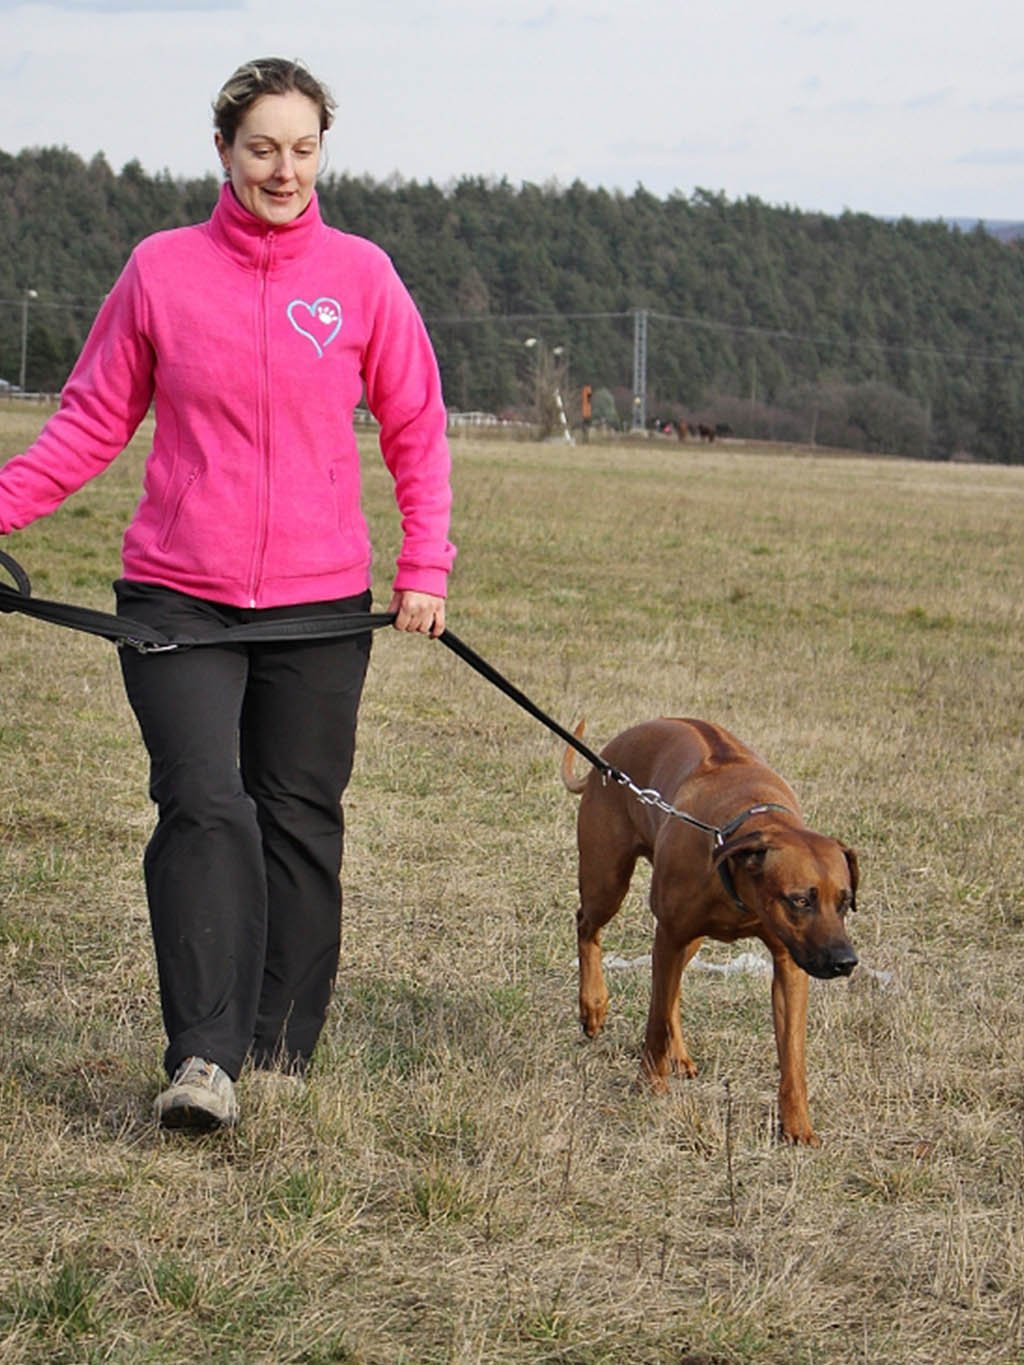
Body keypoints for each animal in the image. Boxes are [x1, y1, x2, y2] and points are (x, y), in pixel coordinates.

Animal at [565, 720, 862, 1146]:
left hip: (687, 937)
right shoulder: (670, 933)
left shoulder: (789, 960)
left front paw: (797, 1125)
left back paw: (679, 1054)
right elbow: (654, 1022)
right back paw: (593, 1005)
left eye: (844, 901)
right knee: (586, 925)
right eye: (800, 900)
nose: (845, 962)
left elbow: (792, 1054)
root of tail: (607, 755)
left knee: (671, 989)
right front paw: (650, 1084)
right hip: (607, 881)